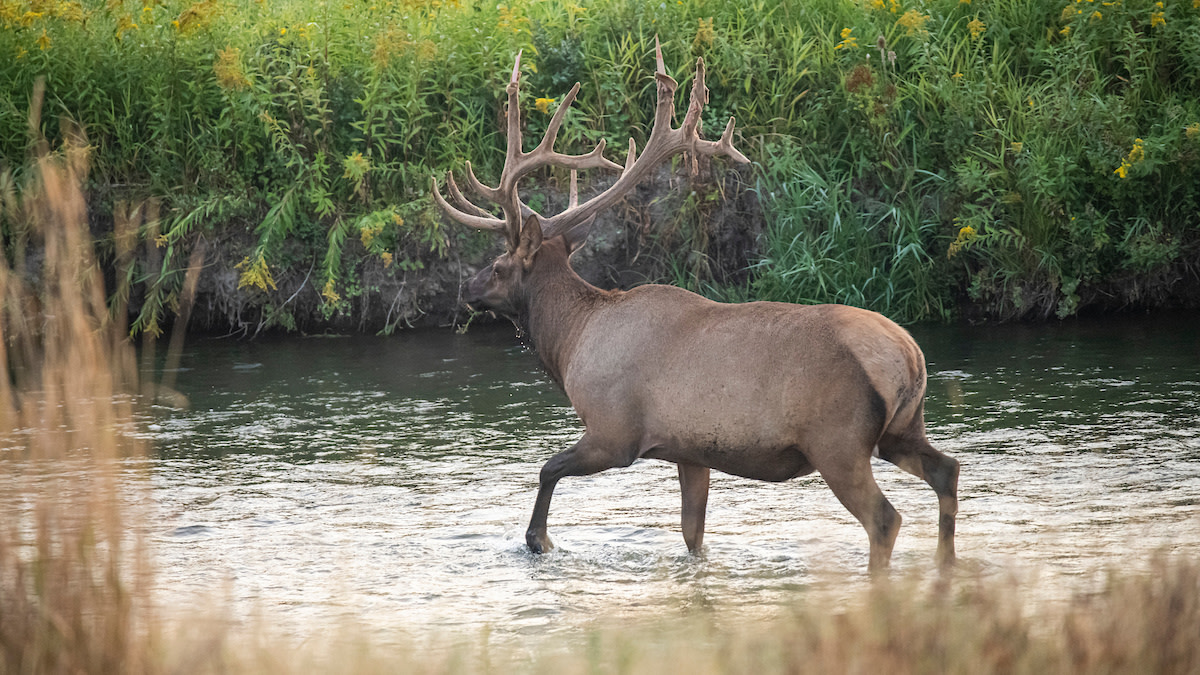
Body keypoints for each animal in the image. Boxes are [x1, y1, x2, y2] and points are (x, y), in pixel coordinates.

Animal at [431, 41, 959, 573]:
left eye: (499, 265)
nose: (465, 289)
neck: (570, 341)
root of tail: (909, 356)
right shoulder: (690, 451)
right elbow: (692, 534)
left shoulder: (615, 432)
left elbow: (547, 469)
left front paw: (538, 540)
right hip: (902, 429)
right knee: (948, 471)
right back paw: (947, 565)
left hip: (838, 440)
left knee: (885, 518)